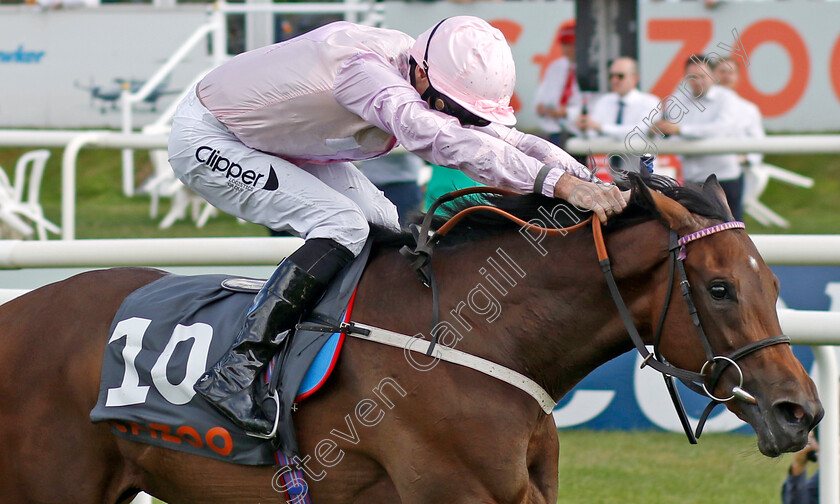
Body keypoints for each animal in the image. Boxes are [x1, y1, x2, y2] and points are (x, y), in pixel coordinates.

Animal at [0, 174, 824, 504]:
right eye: (719, 289)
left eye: (774, 287)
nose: (802, 412)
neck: (481, 341)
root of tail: (19, 312)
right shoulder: (454, 489)